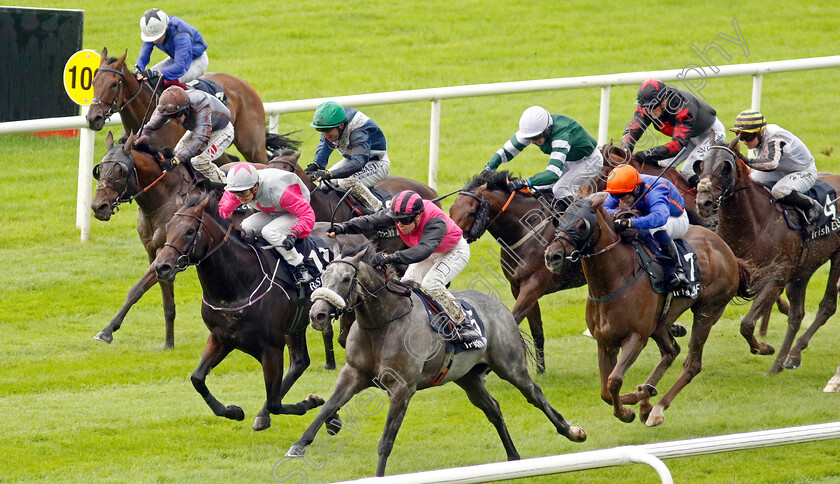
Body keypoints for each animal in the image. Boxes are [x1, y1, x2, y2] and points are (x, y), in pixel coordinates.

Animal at [153, 191, 324, 430]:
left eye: (189, 231)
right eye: (168, 227)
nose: (161, 267)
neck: (239, 285)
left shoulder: (272, 347)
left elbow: (275, 403)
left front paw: (309, 402)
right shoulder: (221, 337)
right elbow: (197, 379)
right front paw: (233, 411)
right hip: (296, 325)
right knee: (300, 362)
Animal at [282, 246, 584, 476]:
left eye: (346, 278)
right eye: (322, 276)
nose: (317, 315)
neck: (382, 323)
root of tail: (501, 307)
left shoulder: (402, 388)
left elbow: (386, 440)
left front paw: (378, 476)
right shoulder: (353, 375)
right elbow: (326, 408)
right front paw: (299, 445)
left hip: (510, 366)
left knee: (534, 393)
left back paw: (572, 431)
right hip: (469, 378)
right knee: (494, 410)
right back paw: (514, 458)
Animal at [540, 195, 756, 426]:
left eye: (582, 225)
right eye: (560, 220)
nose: (552, 256)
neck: (615, 280)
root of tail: (727, 251)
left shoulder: (636, 337)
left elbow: (614, 381)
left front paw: (629, 409)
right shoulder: (605, 342)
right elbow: (605, 392)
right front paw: (638, 398)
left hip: (708, 311)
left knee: (692, 364)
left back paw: (657, 408)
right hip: (660, 322)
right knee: (671, 351)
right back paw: (648, 398)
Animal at [692, 137, 840, 374]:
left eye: (725, 167)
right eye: (700, 165)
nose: (703, 202)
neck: (754, 226)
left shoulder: (775, 277)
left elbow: (746, 324)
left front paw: (763, 347)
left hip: (836, 258)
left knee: (827, 306)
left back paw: (792, 353)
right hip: (803, 269)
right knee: (797, 315)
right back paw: (783, 361)